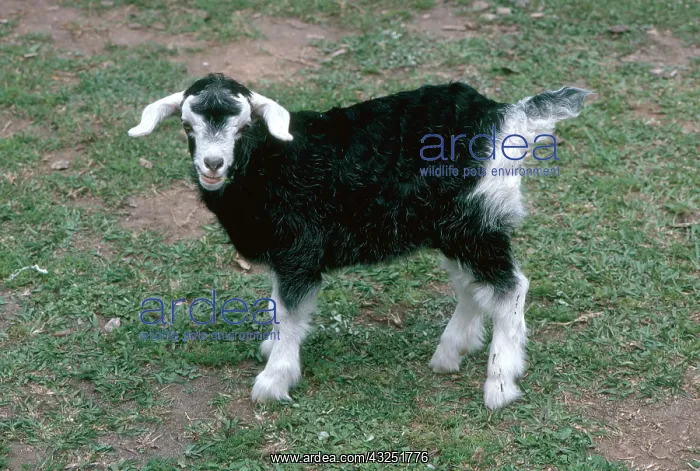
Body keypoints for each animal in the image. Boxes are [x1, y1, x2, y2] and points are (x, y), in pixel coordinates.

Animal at [129, 73, 589, 409]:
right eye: (187, 126)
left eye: (243, 127)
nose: (212, 164)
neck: (273, 163)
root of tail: (504, 115)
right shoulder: (287, 256)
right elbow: (279, 306)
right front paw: (271, 350)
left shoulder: (300, 251)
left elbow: (290, 313)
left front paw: (273, 381)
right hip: (451, 227)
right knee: (472, 287)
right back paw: (450, 353)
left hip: (476, 223)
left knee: (510, 288)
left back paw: (499, 385)